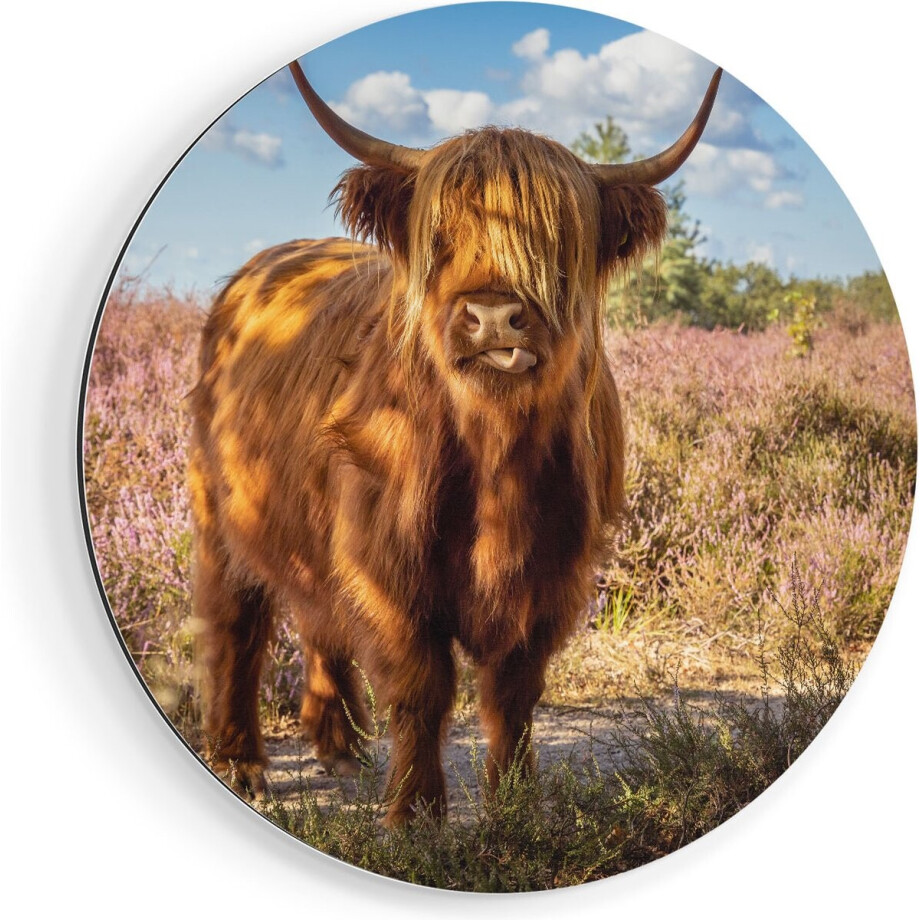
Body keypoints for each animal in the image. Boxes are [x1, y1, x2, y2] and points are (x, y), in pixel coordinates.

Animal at [190, 60, 721, 824]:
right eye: (440, 235)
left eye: (556, 242)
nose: (494, 315)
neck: (496, 459)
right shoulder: (388, 570)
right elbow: (422, 687)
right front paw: (415, 814)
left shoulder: (554, 573)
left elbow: (514, 691)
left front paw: (517, 802)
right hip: (220, 512)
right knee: (236, 622)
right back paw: (241, 763)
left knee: (319, 618)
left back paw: (342, 748)